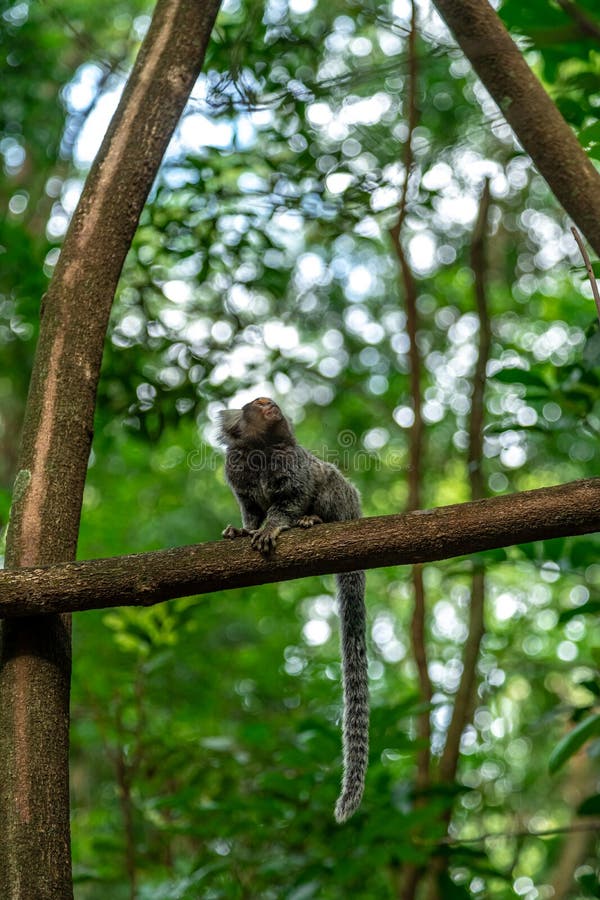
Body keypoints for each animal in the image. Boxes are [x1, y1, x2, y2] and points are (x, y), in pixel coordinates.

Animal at [220, 400, 368, 824]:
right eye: (257, 404)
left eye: (268, 403)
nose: (269, 404)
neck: (262, 452)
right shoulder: (237, 473)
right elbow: (251, 510)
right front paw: (244, 530)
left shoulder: (294, 467)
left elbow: (289, 502)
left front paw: (275, 527)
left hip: (344, 499)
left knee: (329, 479)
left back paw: (313, 519)